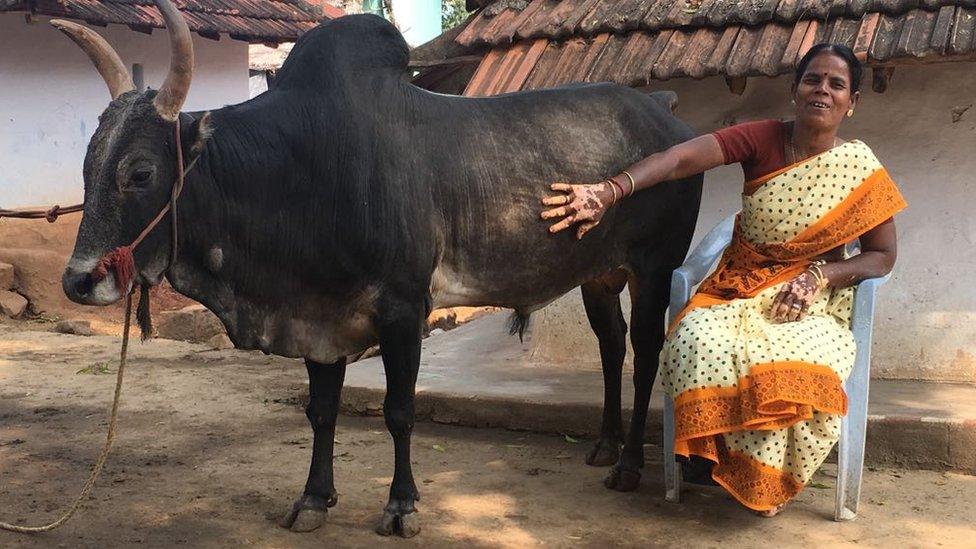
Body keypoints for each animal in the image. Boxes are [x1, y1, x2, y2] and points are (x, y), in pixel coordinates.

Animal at [57, 0, 700, 536]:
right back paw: (605, 445)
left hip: (654, 267)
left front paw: (401, 505)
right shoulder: (317, 317)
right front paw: (314, 498)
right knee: (612, 345)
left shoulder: (402, 310)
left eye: (141, 172)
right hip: (599, 275)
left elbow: (399, 411)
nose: (79, 280)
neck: (302, 169)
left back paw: (627, 465)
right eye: (87, 164)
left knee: (645, 356)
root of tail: (665, 112)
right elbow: (321, 412)